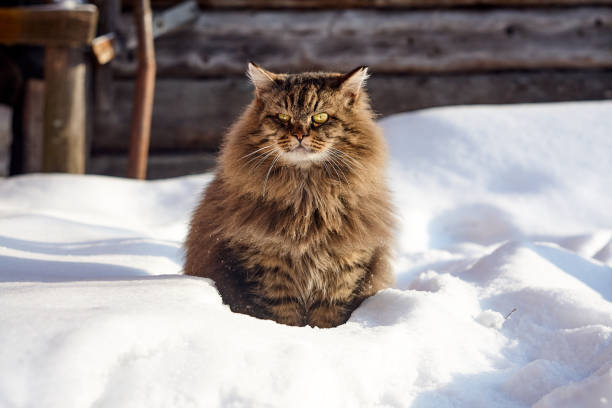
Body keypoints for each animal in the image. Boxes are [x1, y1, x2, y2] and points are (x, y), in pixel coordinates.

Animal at [184, 61, 394, 328]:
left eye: (320, 117)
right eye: (283, 117)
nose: (299, 135)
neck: (308, 198)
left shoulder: (344, 268)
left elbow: (328, 316)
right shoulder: (268, 265)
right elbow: (284, 315)